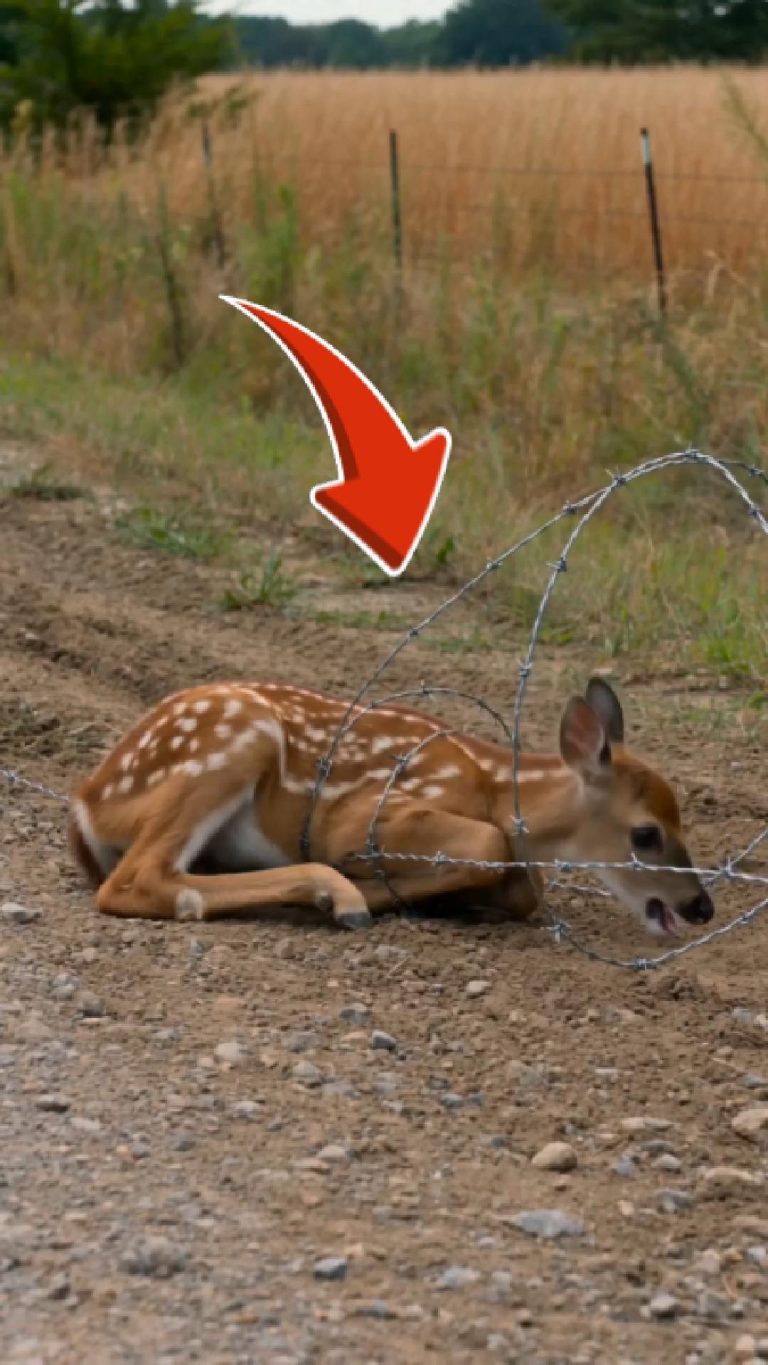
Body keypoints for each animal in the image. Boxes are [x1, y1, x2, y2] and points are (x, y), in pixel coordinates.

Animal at [68, 676, 714, 939]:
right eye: (646, 833)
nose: (702, 906)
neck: (495, 788)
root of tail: (86, 802)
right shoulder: (363, 817)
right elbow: (492, 846)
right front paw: (381, 891)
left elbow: (525, 888)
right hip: (235, 741)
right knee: (138, 879)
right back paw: (336, 897)